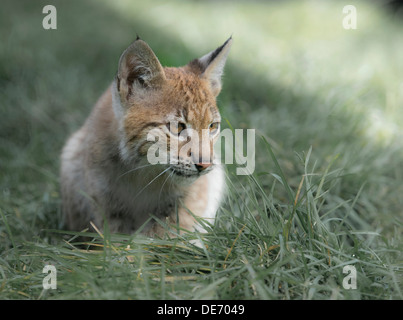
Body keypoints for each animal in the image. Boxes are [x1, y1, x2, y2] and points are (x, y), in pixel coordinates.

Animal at [59, 36, 230, 239]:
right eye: (177, 127)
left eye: (212, 127)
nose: (205, 165)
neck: (144, 172)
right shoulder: (102, 195)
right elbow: (114, 233)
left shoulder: (191, 194)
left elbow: (168, 230)